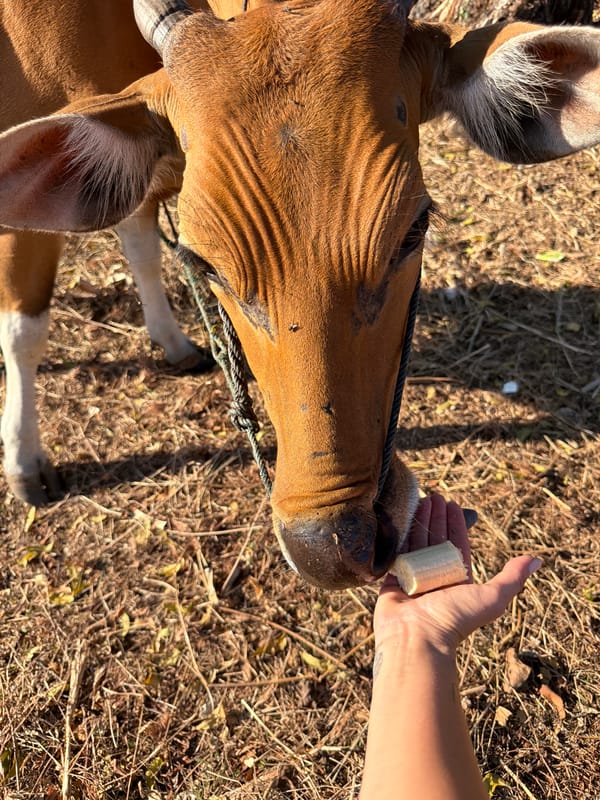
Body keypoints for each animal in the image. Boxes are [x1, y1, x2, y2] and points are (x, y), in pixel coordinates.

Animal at [0, 0, 599, 589]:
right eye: (204, 263)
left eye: (414, 229)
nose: (333, 548)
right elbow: (26, 328)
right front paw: (26, 466)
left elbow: (139, 238)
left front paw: (172, 340)